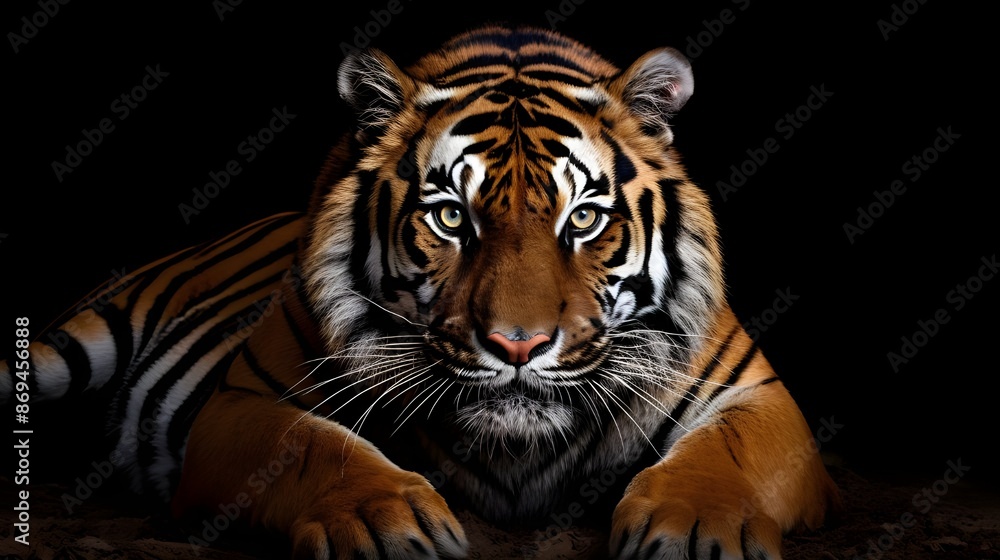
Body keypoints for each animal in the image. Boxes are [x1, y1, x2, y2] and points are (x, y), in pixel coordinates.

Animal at [2, 25, 838, 559]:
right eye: (450, 216)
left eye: (583, 218)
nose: (518, 346)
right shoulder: (245, 403)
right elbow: (318, 446)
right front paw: (385, 522)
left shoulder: (760, 398)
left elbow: (724, 458)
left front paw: (699, 529)